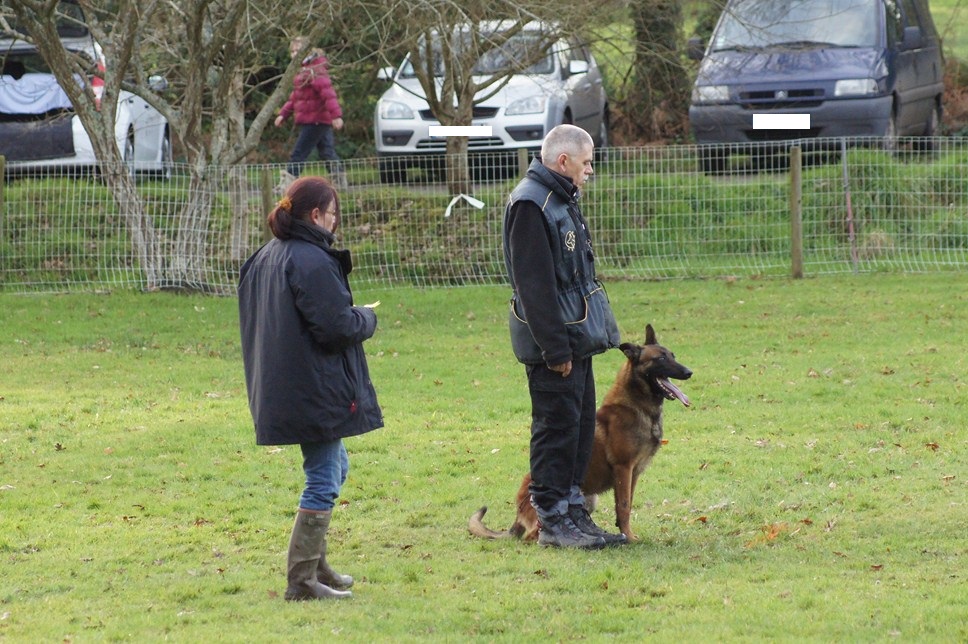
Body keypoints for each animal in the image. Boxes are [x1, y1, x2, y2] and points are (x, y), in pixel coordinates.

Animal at [466, 324, 688, 540]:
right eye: (660, 359)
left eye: (673, 355)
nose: (689, 372)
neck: (637, 405)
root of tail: (518, 513)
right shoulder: (623, 468)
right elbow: (624, 506)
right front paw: (630, 538)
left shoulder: (633, 474)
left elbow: (627, 503)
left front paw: (626, 533)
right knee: (532, 534)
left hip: (589, 498)